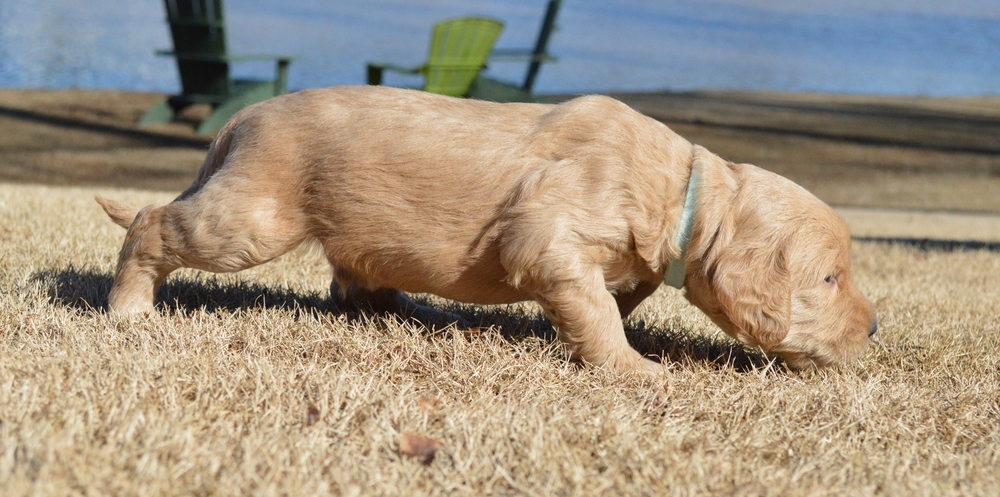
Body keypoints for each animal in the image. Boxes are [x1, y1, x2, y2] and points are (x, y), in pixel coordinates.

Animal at [97, 85, 880, 372]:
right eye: (829, 277)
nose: (873, 330)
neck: (681, 187)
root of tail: (240, 118)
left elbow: (612, 300)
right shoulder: (550, 237)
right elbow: (597, 310)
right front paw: (634, 367)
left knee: (354, 282)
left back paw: (410, 309)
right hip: (249, 219)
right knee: (151, 224)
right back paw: (129, 309)